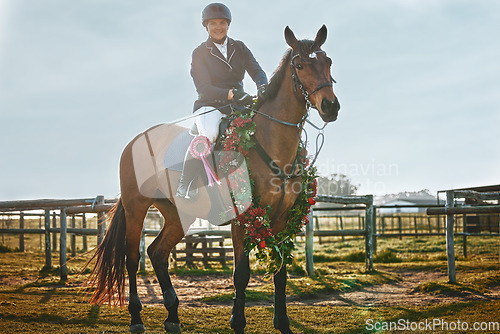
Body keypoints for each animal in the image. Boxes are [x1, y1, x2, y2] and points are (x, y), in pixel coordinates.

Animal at [88, 26, 342, 334]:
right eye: (300, 65)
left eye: (328, 61)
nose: (330, 106)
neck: (269, 143)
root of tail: (135, 140)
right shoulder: (243, 219)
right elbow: (241, 273)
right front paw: (238, 322)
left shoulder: (283, 219)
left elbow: (280, 272)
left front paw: (282, 324)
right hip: (136, 207)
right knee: (132, 258)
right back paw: (136, 318)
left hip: (177, 214)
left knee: (157, 252)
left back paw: (172, 316)